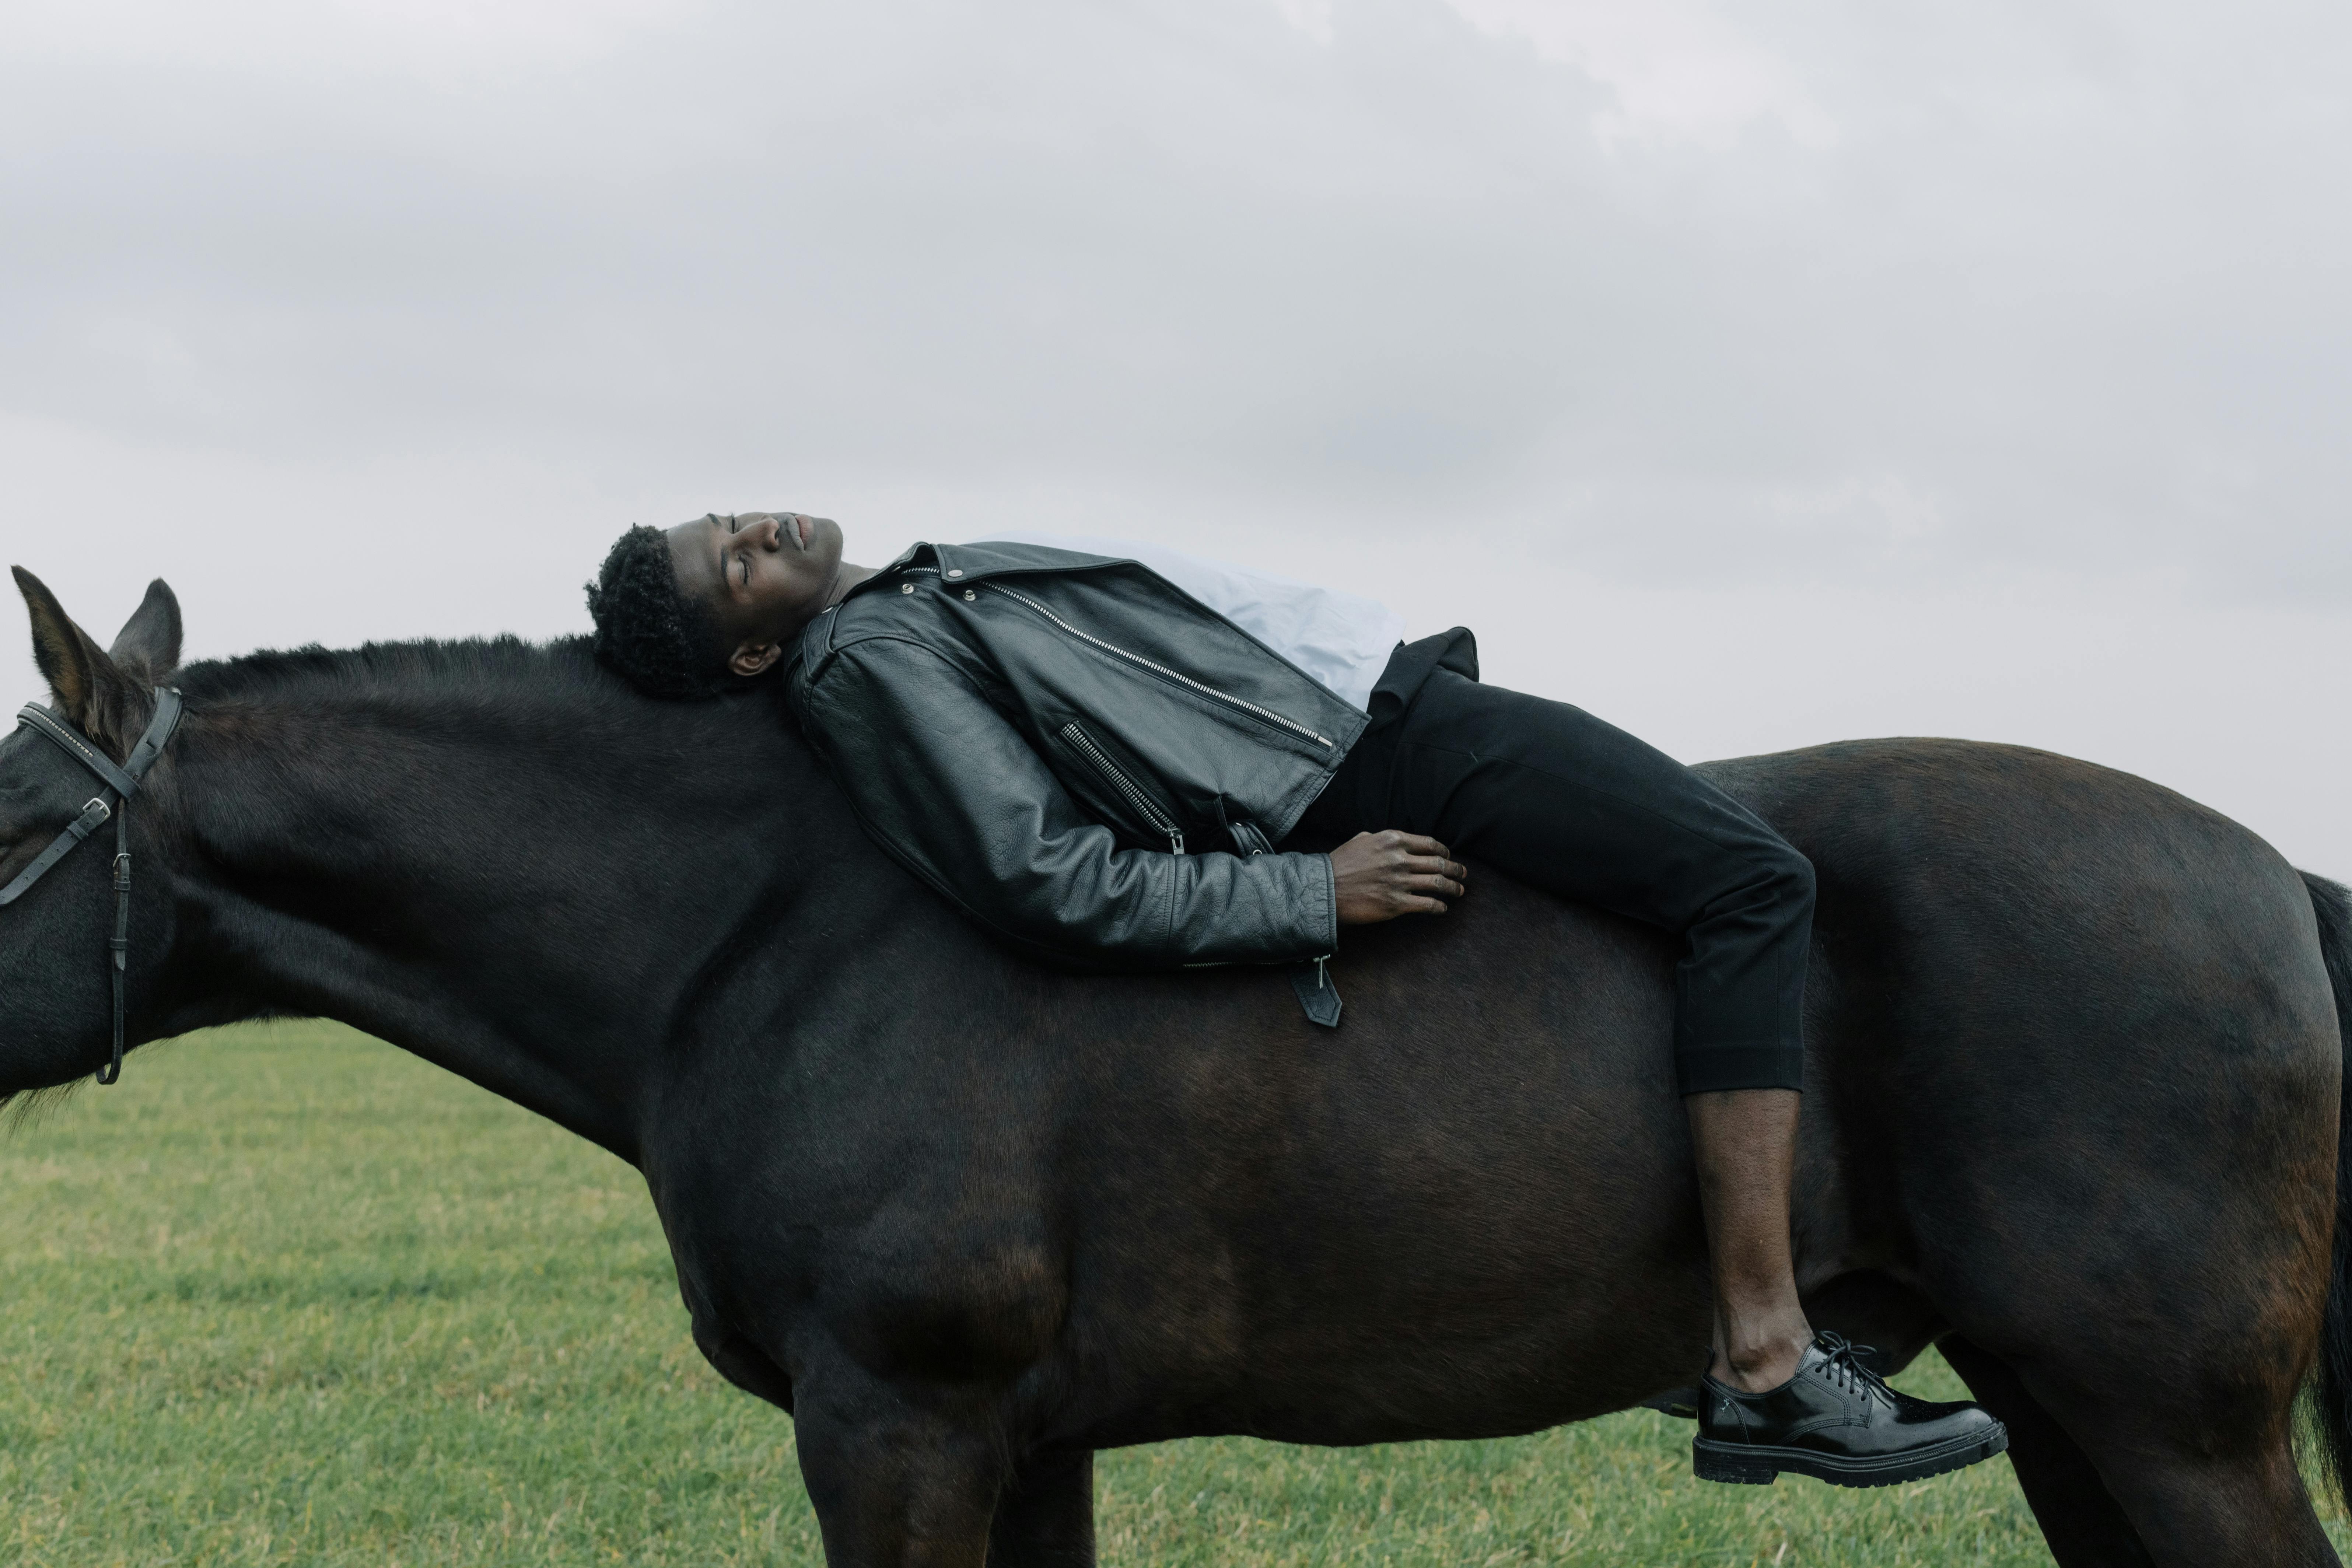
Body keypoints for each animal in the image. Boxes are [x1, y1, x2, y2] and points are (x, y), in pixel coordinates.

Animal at [0, 571, 2342, 1561]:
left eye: (9, 806)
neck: (773, 921)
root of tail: (2268, 871)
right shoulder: (1009, 1440)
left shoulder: (899, 1426)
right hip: (2067, 1412)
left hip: (2169, 1424)